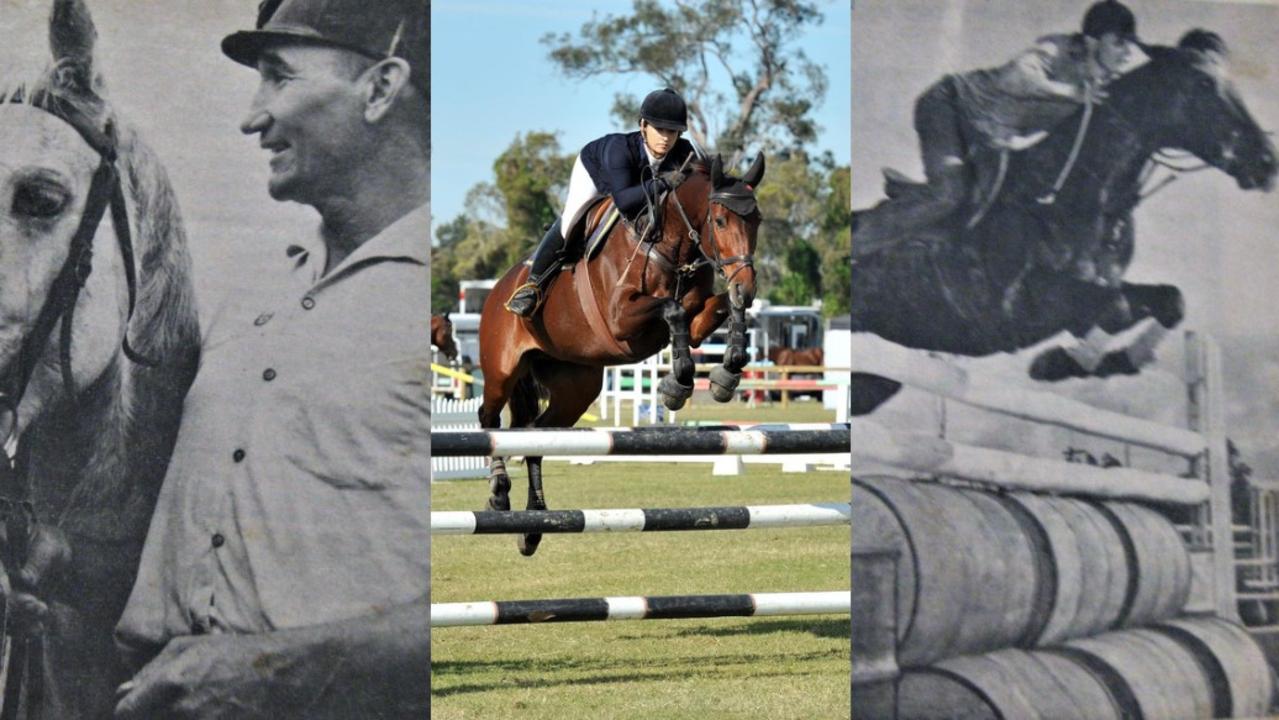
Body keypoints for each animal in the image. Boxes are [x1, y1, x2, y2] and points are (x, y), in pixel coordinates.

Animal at [478, 153, 757, 557]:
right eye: (719, 220)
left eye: (758, 220)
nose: (747, 286)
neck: (670, 245)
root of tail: (499, 288)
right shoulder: (621, 320)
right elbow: (672, 308)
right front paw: (678, 383)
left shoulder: (695, 318)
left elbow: (718, 307)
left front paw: (725, 373)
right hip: (502, 370)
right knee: (489, 418)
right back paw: (499, 494)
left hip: (576, 387)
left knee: (535, 437)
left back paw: (533, 525)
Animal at [854, 33, 1273, 414]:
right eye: (1203, 83)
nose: (1267, 161)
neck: (1077, 198)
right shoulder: (1024, 305)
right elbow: (1116, 308)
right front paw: (1062, 362)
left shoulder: (1097, 289)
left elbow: (1170, 300)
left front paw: (1099, 361)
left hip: (878, 377)